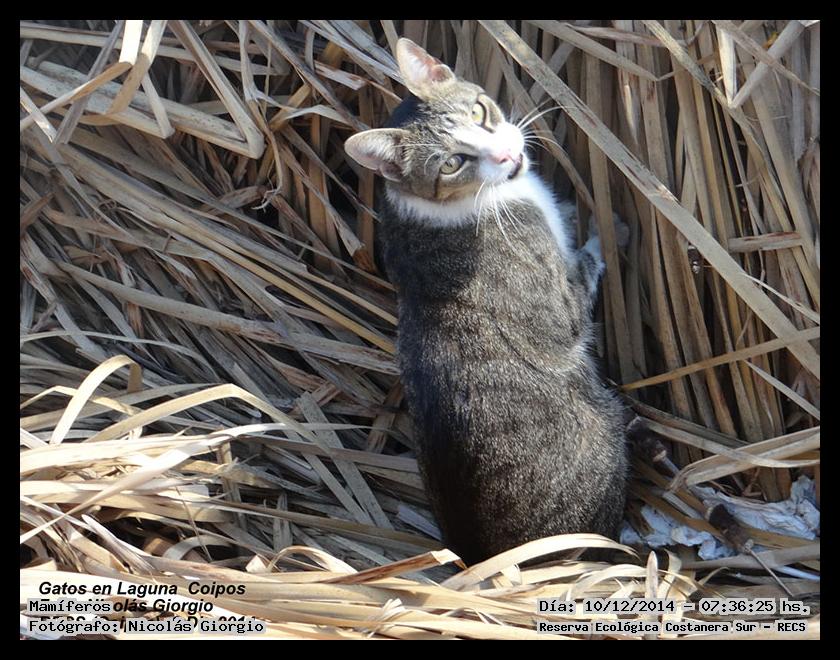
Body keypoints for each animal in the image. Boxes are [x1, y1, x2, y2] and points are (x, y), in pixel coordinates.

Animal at [344, 38, 628, 565]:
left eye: (479, 110)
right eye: (452, 163)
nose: (508, 153)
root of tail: (482, 556)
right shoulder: (557, 307)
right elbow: (580, 278)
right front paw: (608, 232)